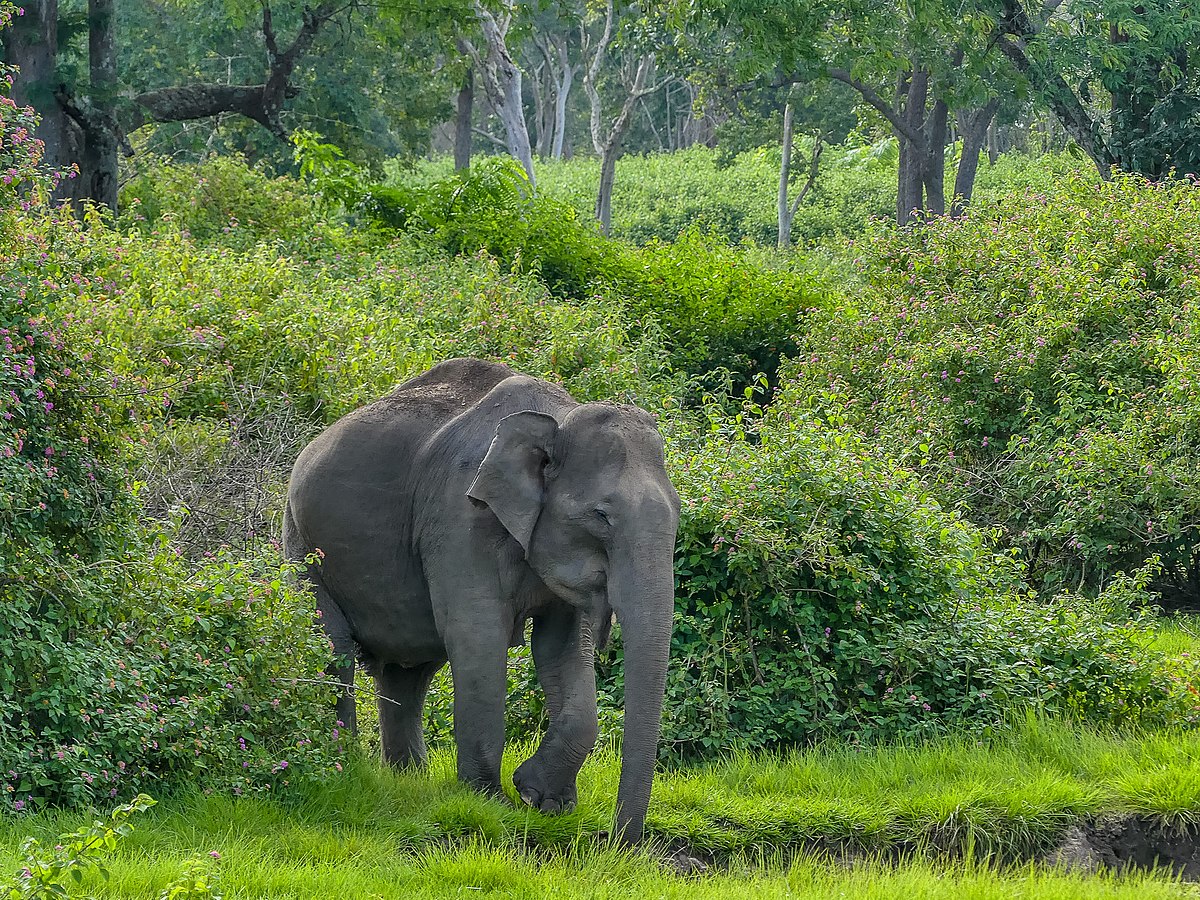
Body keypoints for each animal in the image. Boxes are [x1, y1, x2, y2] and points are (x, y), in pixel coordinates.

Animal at [283, 358, 680, 842]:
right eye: (601, 516)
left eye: (679, 512)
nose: (618, 843)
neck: (557, 419)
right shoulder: (460, 520)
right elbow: (478, 638)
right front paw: (490, 802)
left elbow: (562, 648)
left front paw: (544, 801)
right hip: (302, 545)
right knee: (332, 649)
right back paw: (347, 770)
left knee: (407, 673)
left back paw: (407, 780)